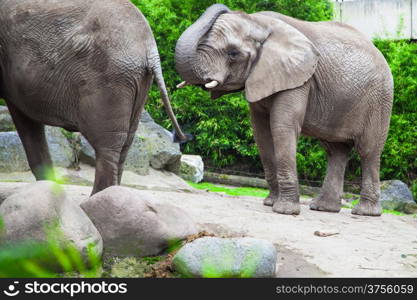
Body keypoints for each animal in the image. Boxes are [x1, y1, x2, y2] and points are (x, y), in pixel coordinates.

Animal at [0, 0, 188, 195]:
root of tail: (149, 48)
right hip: (137, 82)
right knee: (125, 144)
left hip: (108, 79)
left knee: (107, 145)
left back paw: (98, 198)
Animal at [175, 4, 394, 216]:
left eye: (233, 53)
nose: (229, 9)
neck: (259, 22)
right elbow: (261, 133)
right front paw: (270, 203)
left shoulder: (299, 78)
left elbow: (282, 127)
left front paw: (285, 211)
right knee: (335, 151)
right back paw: (323, 208)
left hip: (379, 99)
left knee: (368, 151)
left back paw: (365, 212)